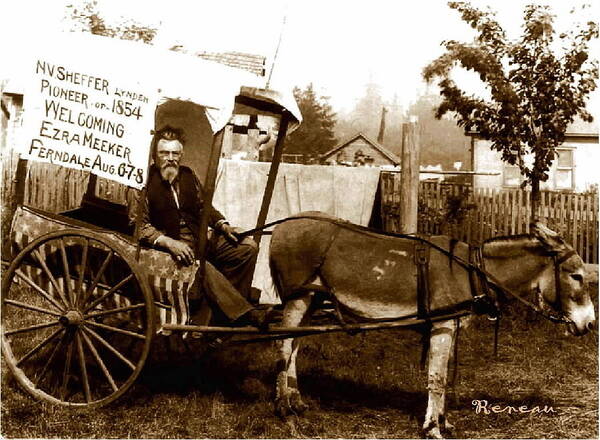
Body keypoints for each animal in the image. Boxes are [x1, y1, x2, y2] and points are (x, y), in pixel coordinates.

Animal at [268, 211, 596, 438]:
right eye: (576, 276)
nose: (590, 324)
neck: (473, 272)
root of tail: (283, 225)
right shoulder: (441, 328)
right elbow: (436, 379)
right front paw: (431, 428)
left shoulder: (450, 329)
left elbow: (445, 375)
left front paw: (444, 422)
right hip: (298, 298)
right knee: (283, 345)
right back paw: (284, 409)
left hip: (311, 299)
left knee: (295, 345)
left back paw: (296, 401)